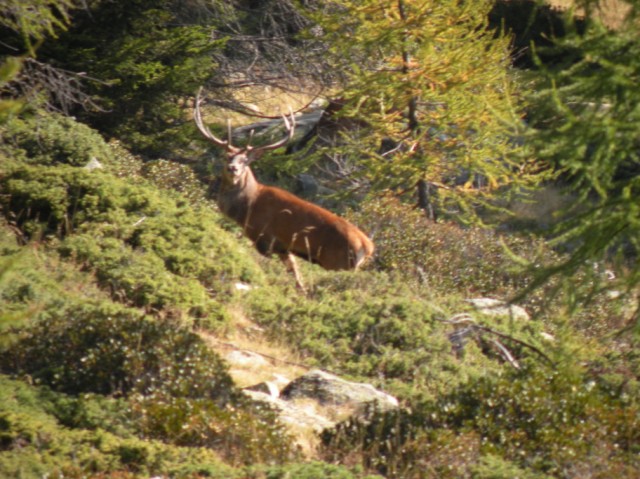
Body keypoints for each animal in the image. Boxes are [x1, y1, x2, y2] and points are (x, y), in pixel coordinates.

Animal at [195, 89, 376, 292]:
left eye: (245, 161)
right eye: (227, 156)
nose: (233, 168)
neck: (247, 207)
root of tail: (367, 246)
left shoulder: (265, 239)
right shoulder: (282, 247)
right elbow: (295, 273)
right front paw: (301, 291)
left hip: (338, 262)